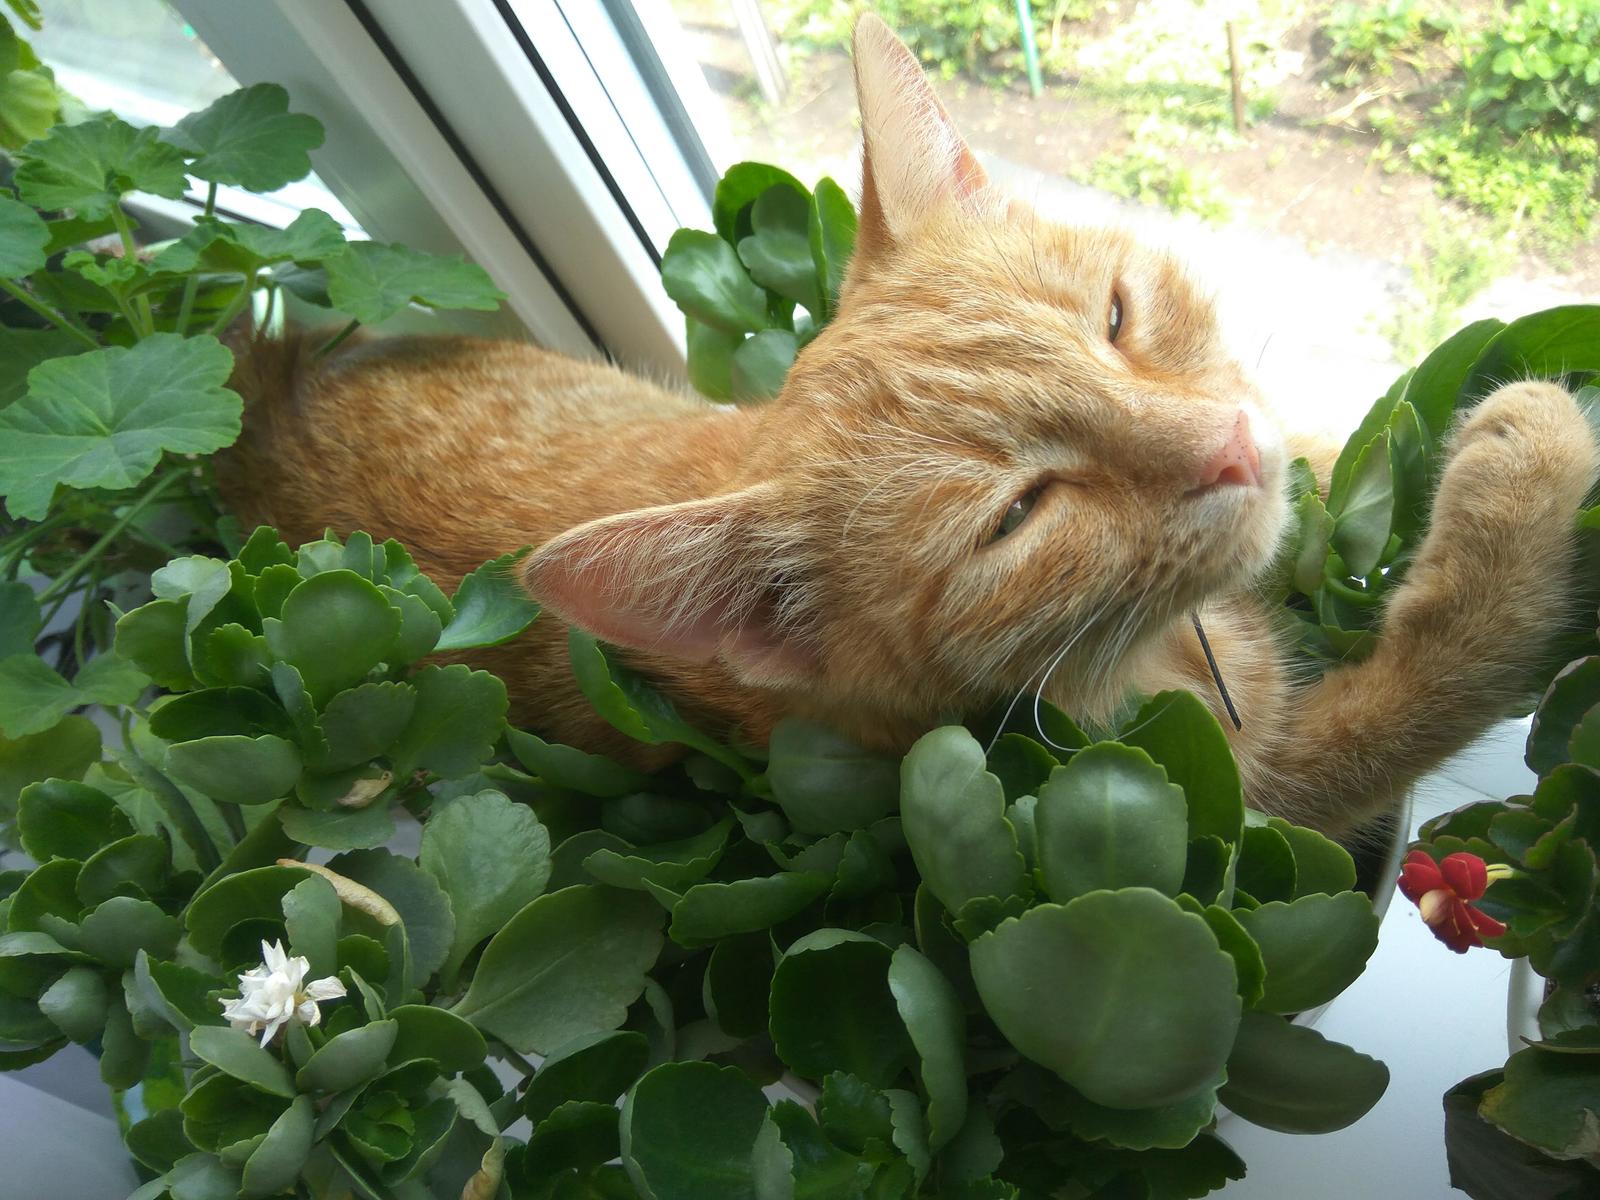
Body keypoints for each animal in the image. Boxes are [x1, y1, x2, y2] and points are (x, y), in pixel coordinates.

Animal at [216, 16, 1600, 838]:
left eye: (1114, 315)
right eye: (1019, 516)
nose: (1228, 449)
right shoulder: (1257, 792)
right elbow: (1429, 685)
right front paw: (1526, 469)